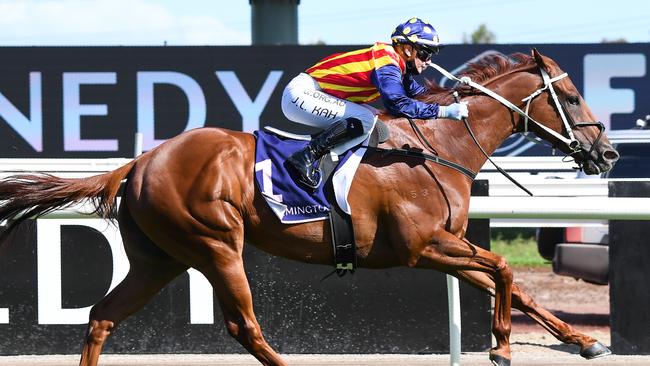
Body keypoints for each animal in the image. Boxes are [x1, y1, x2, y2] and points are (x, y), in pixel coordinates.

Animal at [0, 49, 616, 366]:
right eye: (573, 96)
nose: (606, 153)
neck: (438, 148)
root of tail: (139, 161)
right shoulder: (422, 248)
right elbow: (507, 269)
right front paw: (503, 346)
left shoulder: (449, 246)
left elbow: (514, 284)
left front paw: (584, 341)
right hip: (215, 244)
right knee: (243, 326)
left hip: (160, 257)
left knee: (102, 317)